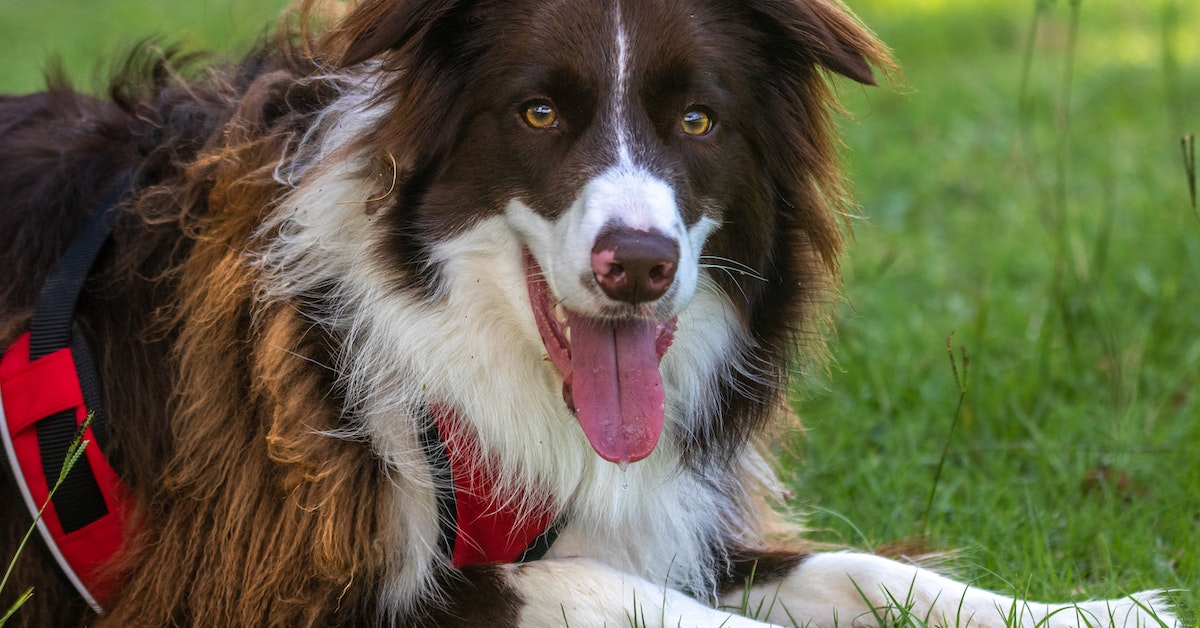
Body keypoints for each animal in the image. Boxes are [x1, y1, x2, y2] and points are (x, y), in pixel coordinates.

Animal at [0, 2, 1180, 624]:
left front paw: (1095, 611)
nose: (640, 267)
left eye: (699, 120)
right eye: (537, 113)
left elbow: (859, 569)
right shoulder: (276, 587)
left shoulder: (668, 515)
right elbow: (593, 584)